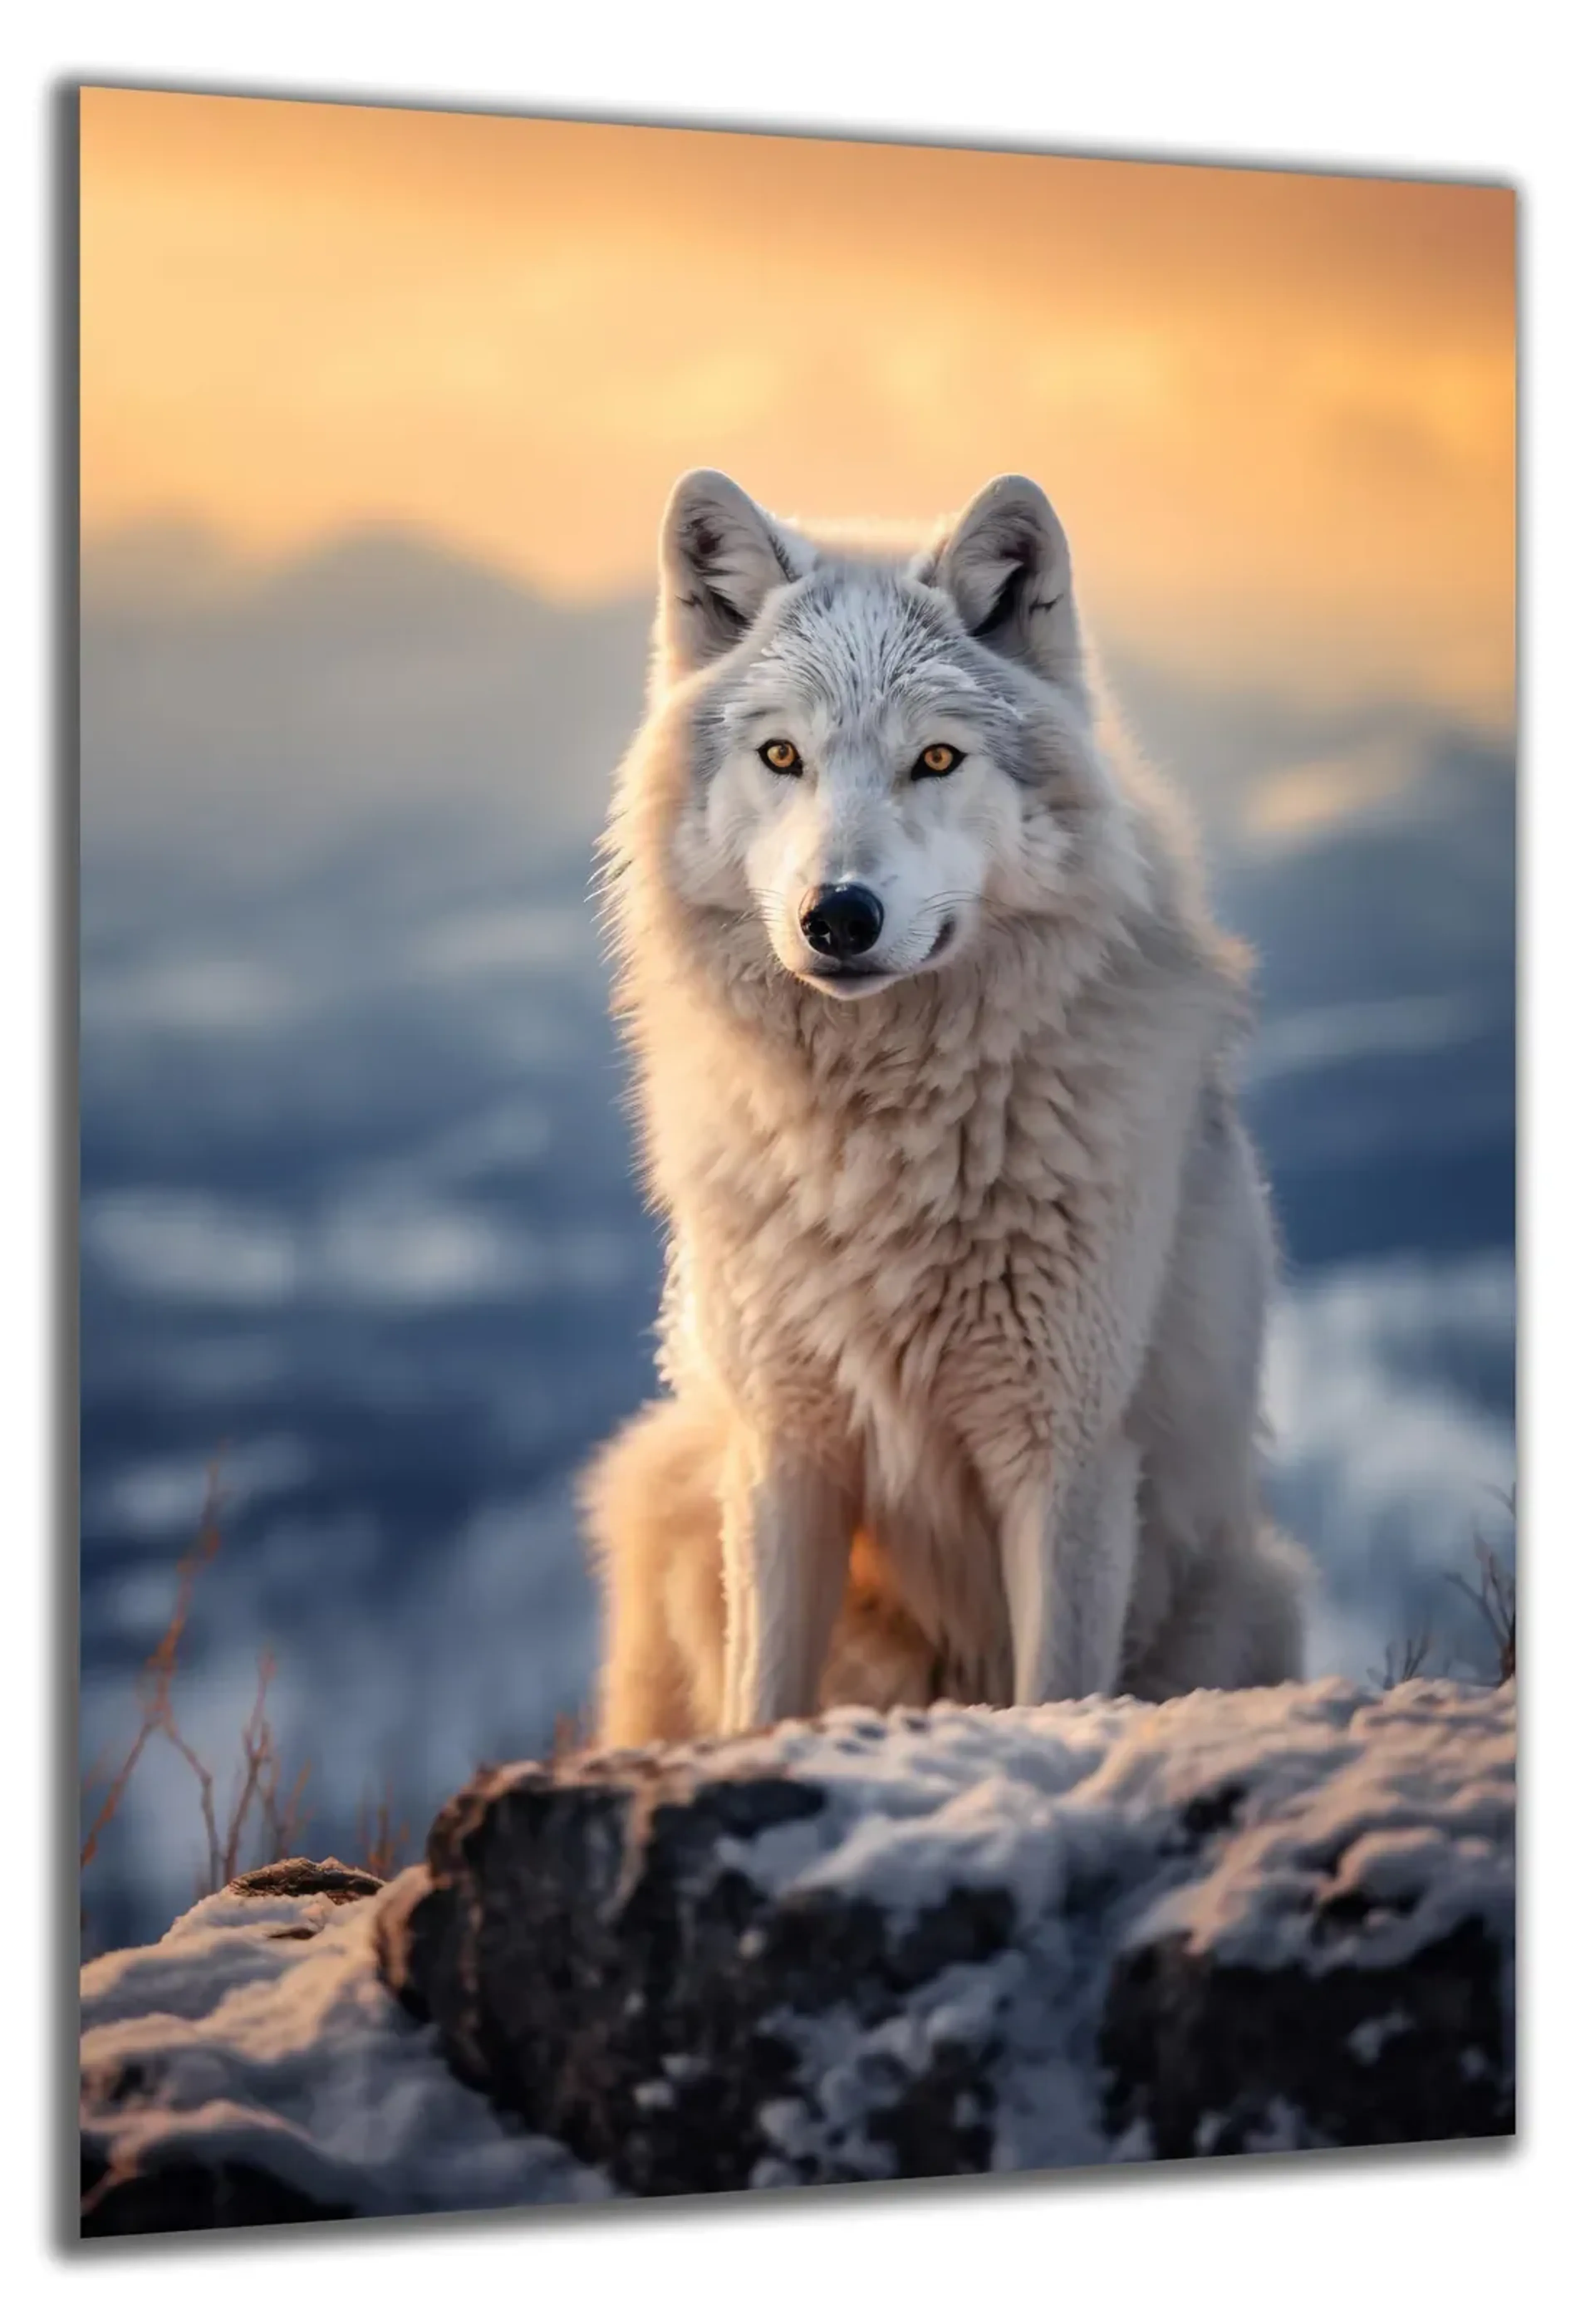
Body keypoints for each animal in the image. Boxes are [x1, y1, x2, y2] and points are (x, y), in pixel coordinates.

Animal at [583, 469, 1310, 1747]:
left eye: (935, 758)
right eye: (783, 754)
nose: (839, 914)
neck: (882, 1140)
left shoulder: (1065, 1460)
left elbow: (1057, 1687)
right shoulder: (785, 1451)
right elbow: (763, 1697)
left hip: (1245, 1589)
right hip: (670, 1492)